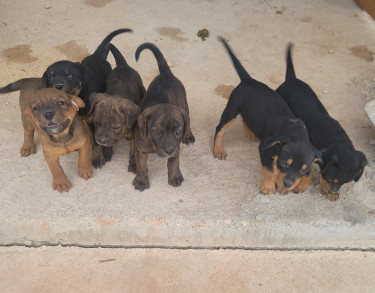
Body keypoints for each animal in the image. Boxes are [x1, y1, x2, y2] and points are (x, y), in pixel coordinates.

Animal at [133, 42, 197, 190]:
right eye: (156, 132)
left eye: (178, 132)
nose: (168, 150)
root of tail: (166, 73)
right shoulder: (140, 149)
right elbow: (141, 166)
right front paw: (141, 181)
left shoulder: (176, 147)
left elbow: (173, 163)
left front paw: (175, 177)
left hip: (184, 104)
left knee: (188, 120)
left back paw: (189, 136)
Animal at [213, 38, 322, 194]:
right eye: (285, 162)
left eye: (302, 169)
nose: (288, 183)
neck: (295, 131)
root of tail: (248, 80)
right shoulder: (265, 151)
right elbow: (270, 170)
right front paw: (268, 187)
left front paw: (289, 187)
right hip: (232, 109)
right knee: (220, 128)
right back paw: (218, 150)